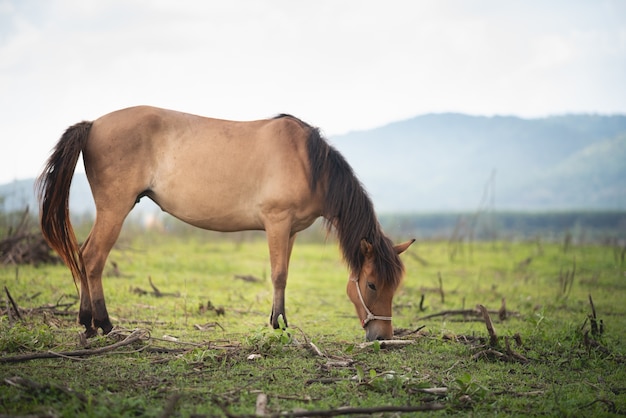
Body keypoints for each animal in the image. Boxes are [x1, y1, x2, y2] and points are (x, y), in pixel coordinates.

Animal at [36, 104, 412, 340]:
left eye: (394, 287)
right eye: (372, 284)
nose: (382, 337)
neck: (307, 162)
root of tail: (93, 124)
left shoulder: (289, 231)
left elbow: (285, 276)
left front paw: (280, 322)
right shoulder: (277, 223)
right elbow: (278, 274)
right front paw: (278, 325)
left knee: (83, 255)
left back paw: (88, 323)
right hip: (114, 210)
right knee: (92, 258)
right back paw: (101, 324)